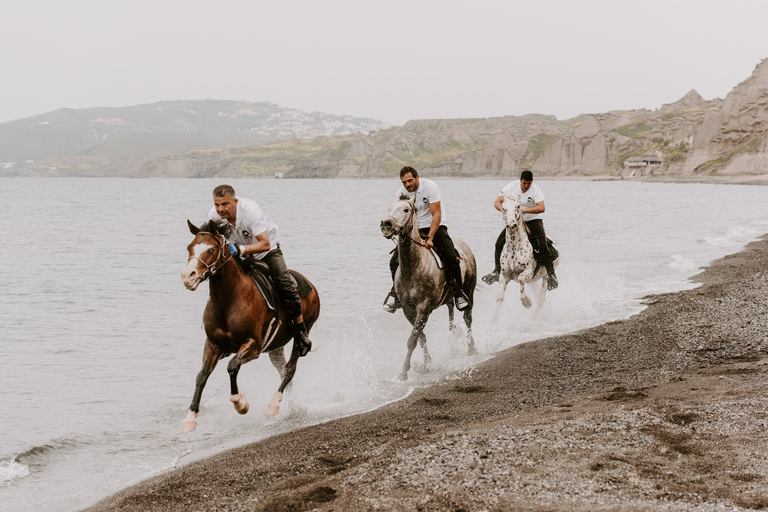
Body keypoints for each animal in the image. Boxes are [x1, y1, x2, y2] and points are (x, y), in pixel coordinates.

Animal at [178, 220, 320, 432]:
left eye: (211, 249)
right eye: (189, 247)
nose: (188, 276)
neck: (227, 300)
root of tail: (311, 286)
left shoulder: (253, 345)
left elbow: (232, 366)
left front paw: (240, 404)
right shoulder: (213, 344)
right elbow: (201, 375)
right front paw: (190, 417)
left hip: (301, 333)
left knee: (290, 368)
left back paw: (273, 404)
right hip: (275, 346)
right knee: (283, 370)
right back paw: (293, 407)